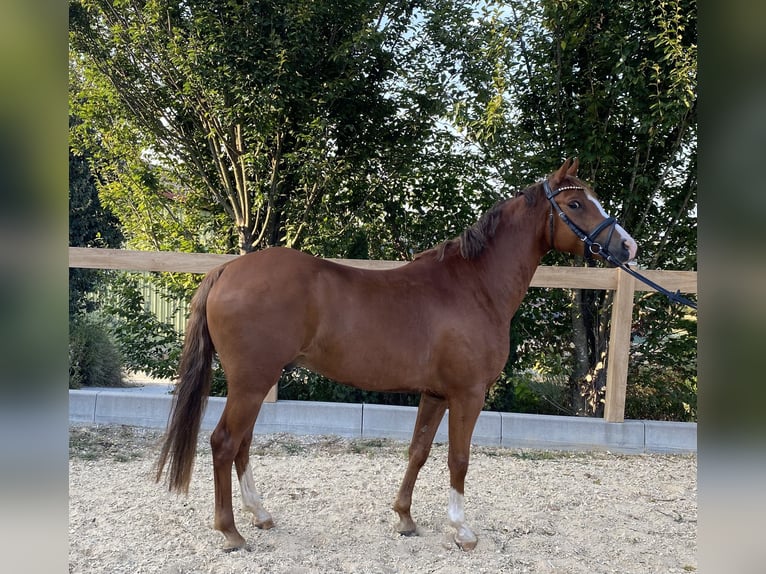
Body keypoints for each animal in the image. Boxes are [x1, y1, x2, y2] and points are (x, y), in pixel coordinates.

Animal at [154, 159, 636, 552]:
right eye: (576, 203)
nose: (628, 248)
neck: (474, 287)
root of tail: (226, 270)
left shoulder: (435, 394)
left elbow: (418, 451)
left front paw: (404, 517)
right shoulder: (468, 394)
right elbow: (458, 459)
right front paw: (461, 530)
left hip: (257, 382)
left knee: (242, 445)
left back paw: (260, 514)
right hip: (251, 382)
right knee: (224, 443)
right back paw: (231, 531)